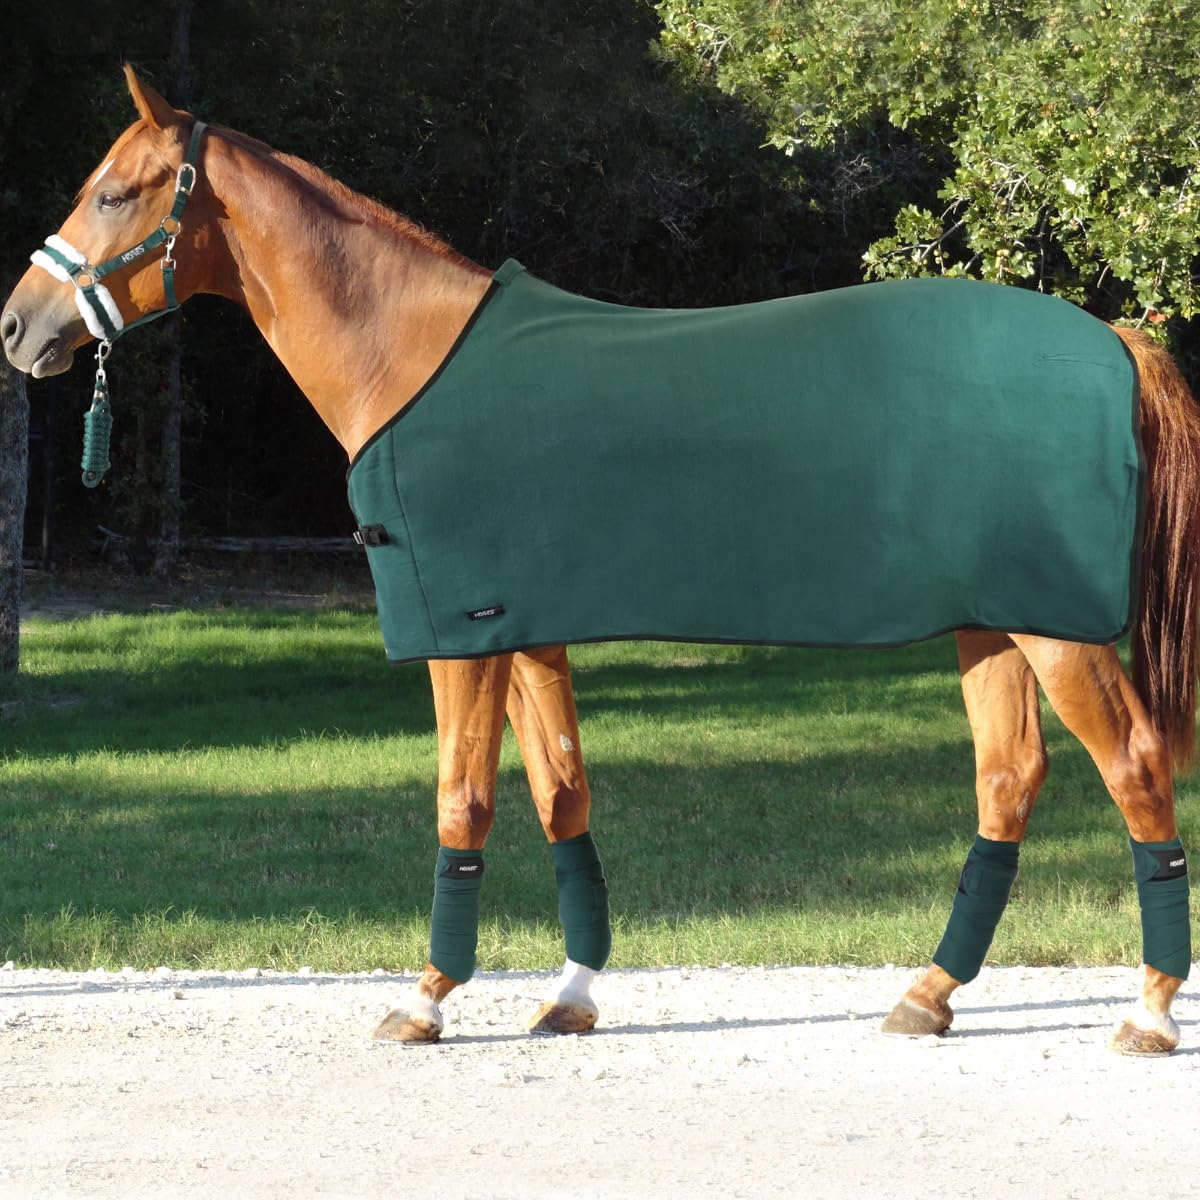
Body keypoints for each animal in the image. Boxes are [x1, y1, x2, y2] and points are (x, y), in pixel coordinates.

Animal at [2, 67, 1194, 1055]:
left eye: (116, 193)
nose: (17, 327)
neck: (411, 357)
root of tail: (1112, 337)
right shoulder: (530, 631)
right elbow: (562, 792)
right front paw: (570, 995)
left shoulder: (462, 637)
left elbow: (463, 803)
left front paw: (427, 999)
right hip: (990, 620)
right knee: (1010, 779)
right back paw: (928, 996)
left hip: (1054, 627)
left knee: (1135, 766)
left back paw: (1145, 1011)